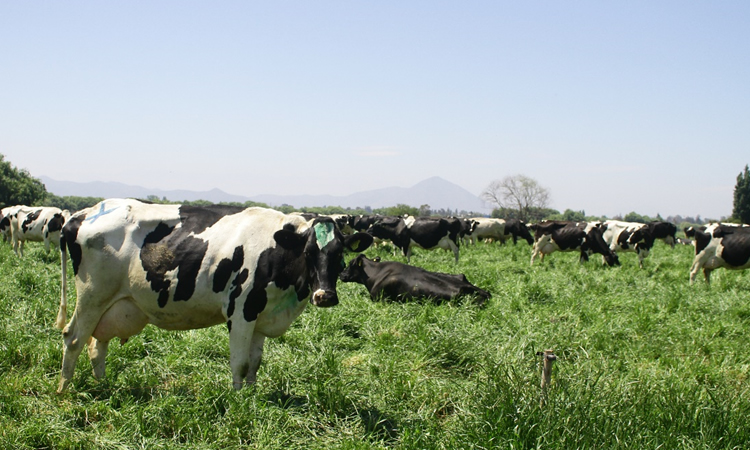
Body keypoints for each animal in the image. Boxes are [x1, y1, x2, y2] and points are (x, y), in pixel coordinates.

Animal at [57, 199, 374, 392]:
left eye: (339, 255)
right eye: (308, 253)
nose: (325, 296)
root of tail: (84, 213)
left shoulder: (261, 316)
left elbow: (255, 363)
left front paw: (253, 397)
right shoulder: (241, 310)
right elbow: (240, 362)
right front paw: (237, 399)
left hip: (111, 304)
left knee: (97, 344)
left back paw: (102, 385)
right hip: (91, 296)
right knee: (73, 338)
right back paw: (64, 391)